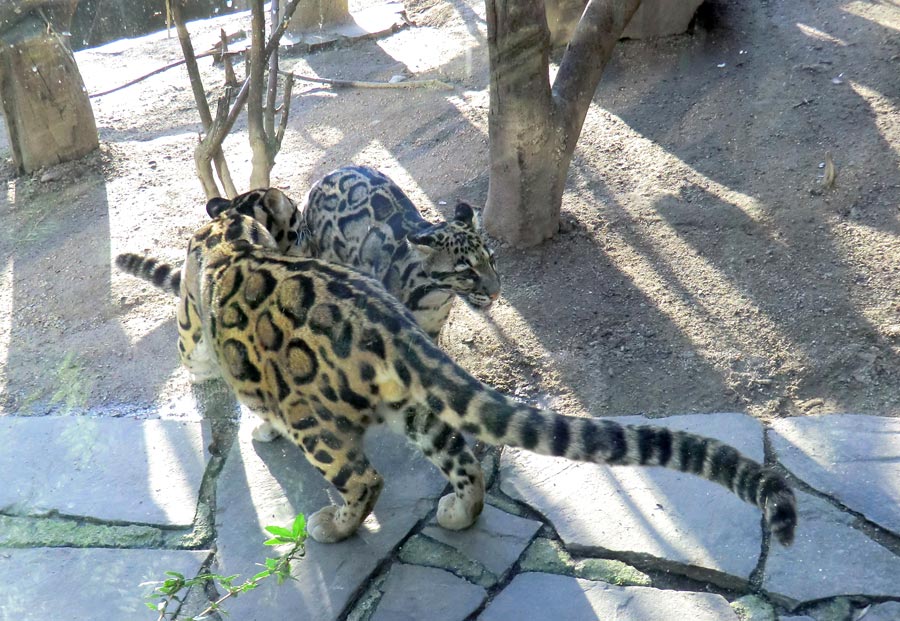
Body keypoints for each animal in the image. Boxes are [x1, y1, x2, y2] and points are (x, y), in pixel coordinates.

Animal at [165, 208, 800, 544]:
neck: (229, 232)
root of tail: (390, 325)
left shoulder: (198, 330)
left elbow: (217, 369)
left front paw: (258, 425)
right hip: (416, 405)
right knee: (463, 459)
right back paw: (458, 513)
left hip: (318, 424)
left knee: (364, 479)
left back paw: (333, 525)